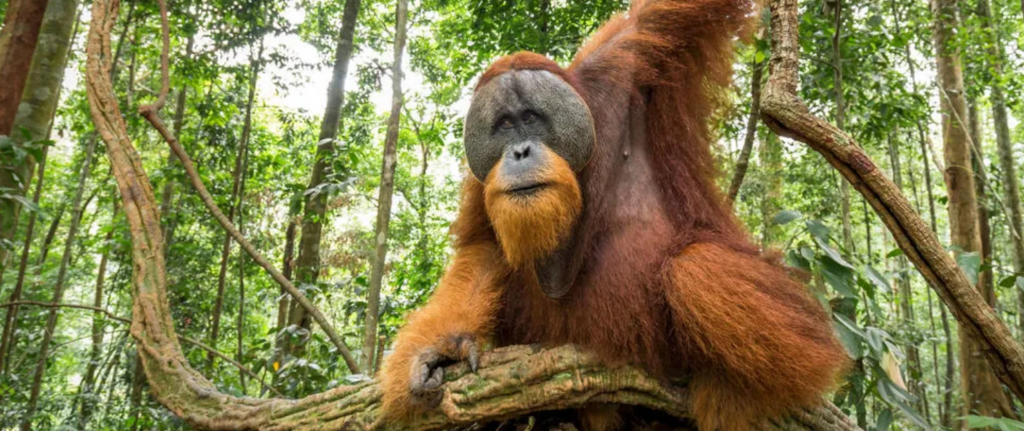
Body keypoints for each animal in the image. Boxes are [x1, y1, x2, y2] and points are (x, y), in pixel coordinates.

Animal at [379, 0, 849, 429]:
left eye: (531, 118)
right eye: (505, 125)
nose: (519, 152)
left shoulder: (629, 55)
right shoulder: (483, 179)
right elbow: (484, 248)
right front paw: (439, 350)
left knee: (693, 266)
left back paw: (737, 394)